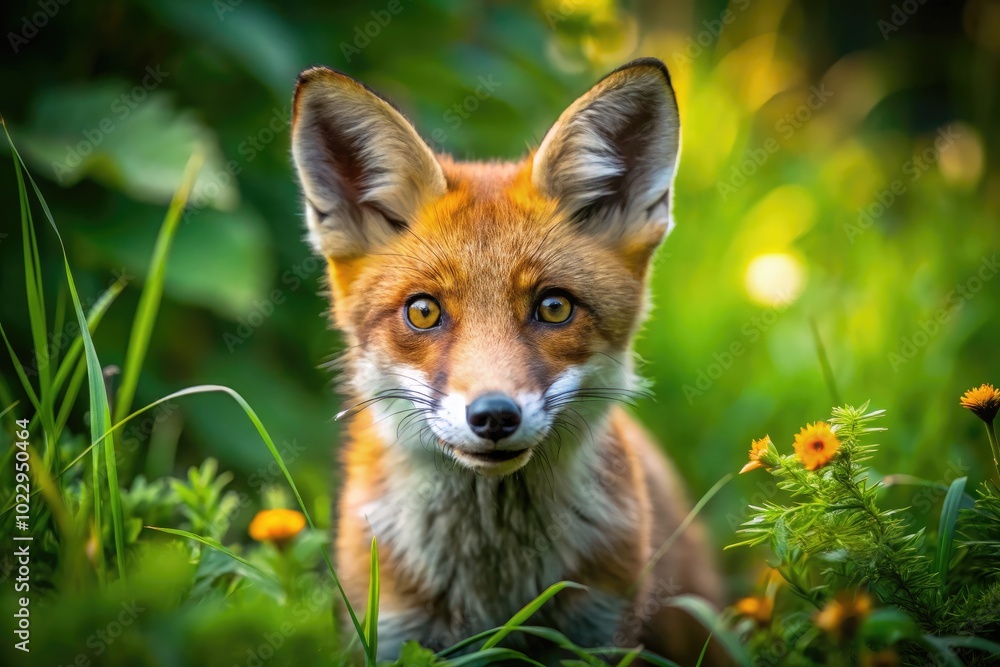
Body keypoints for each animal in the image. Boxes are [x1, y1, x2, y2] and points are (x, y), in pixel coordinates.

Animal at [289, 57, 725, 664]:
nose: (494, 416)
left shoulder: (597, 629)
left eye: (554, 307)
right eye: (423, 311)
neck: (493, 592)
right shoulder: (393, 633)